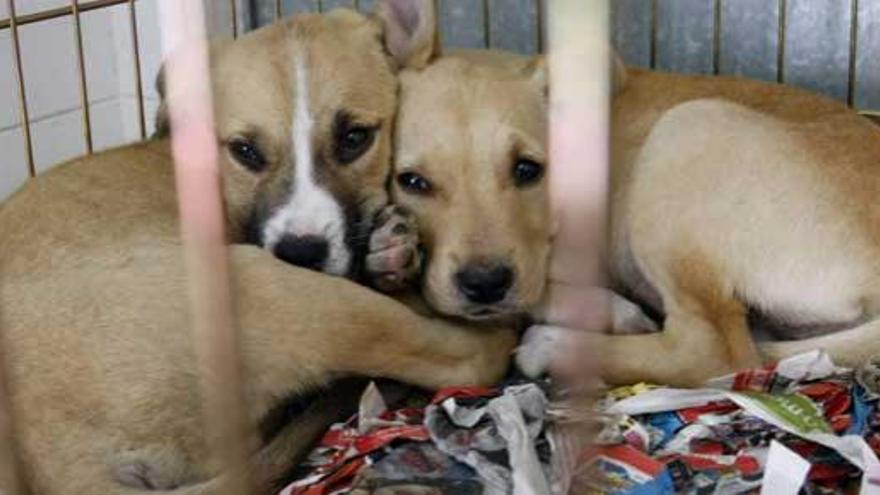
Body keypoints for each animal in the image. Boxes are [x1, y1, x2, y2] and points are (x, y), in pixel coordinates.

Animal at [0, 1, 516, 494]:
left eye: (355, 137)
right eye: (245, 151)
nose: (300, 253)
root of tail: (54, 459)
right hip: (278, 292)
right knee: (463, 356)